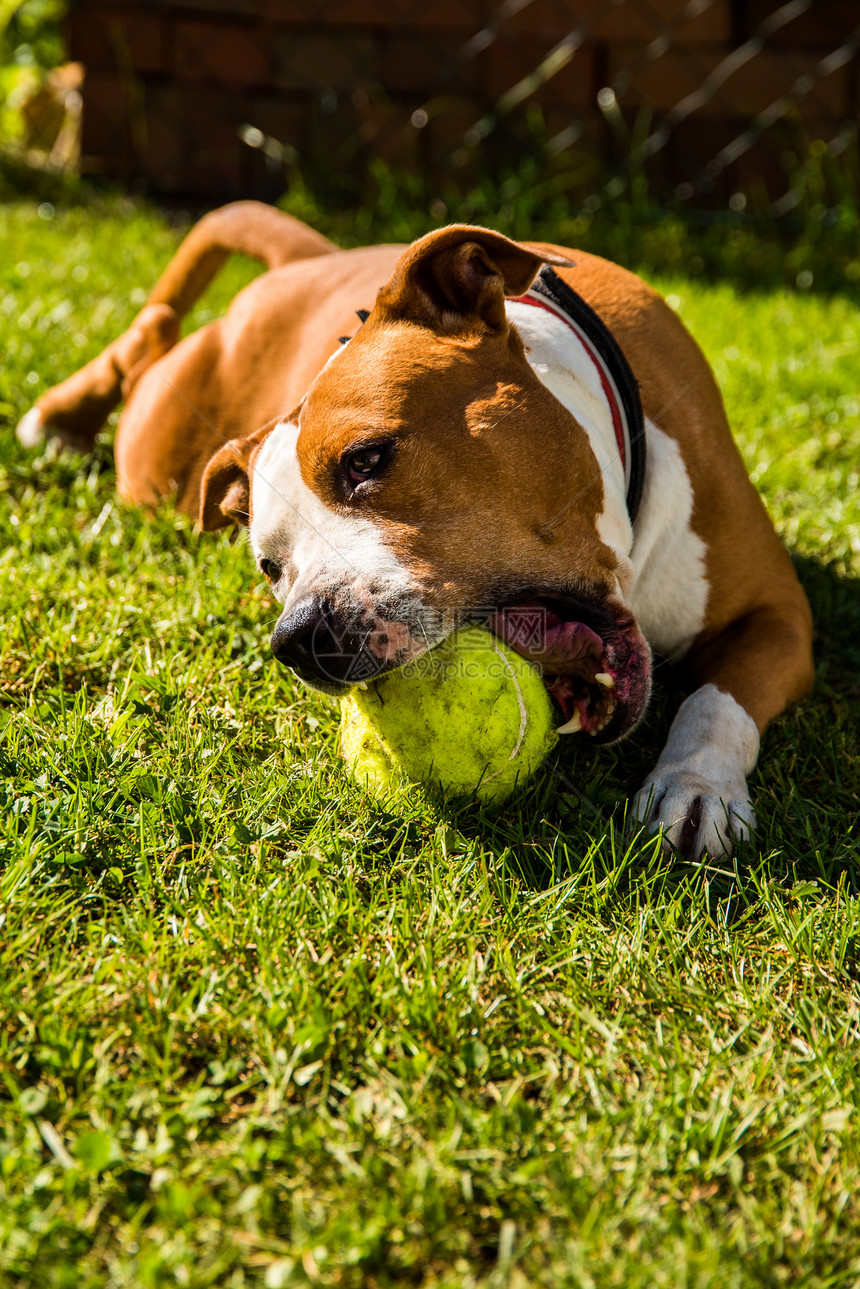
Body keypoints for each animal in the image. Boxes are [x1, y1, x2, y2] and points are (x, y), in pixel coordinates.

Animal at [18, 198, 814, 855]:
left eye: (367, 459)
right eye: (271, 567)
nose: (301, 637)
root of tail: (311, 260)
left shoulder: (780, 612)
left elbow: (717, 699)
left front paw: (696, 785)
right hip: (158, 457)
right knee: (142, 342)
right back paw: (59, 418)